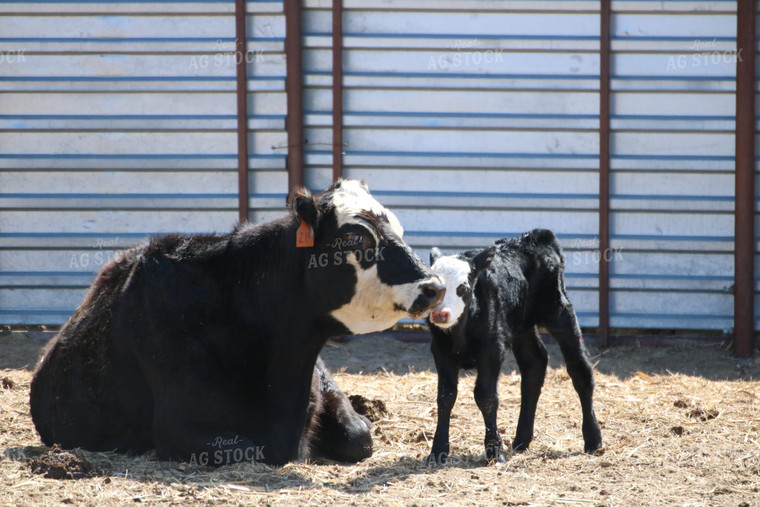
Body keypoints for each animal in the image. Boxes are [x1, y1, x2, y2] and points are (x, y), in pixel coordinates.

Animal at [29, 180, 446, 468]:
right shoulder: (179, 424)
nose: (435, 286)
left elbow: (360, 435)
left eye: (399, 230)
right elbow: (247, 448)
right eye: (355, 239)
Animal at [428, 230, 600, 464]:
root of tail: (535, 237)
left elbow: (486, 396)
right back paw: (522, 439)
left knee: (580, 369)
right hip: (521, 326)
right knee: (534, 364)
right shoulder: (440, 350)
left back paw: (593, 439)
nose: (440, 314)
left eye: (462, 287)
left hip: (560, 311)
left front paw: (494, 451)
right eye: (433, 289)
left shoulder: (492, 349)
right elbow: (445, 397)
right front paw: (438, 451)